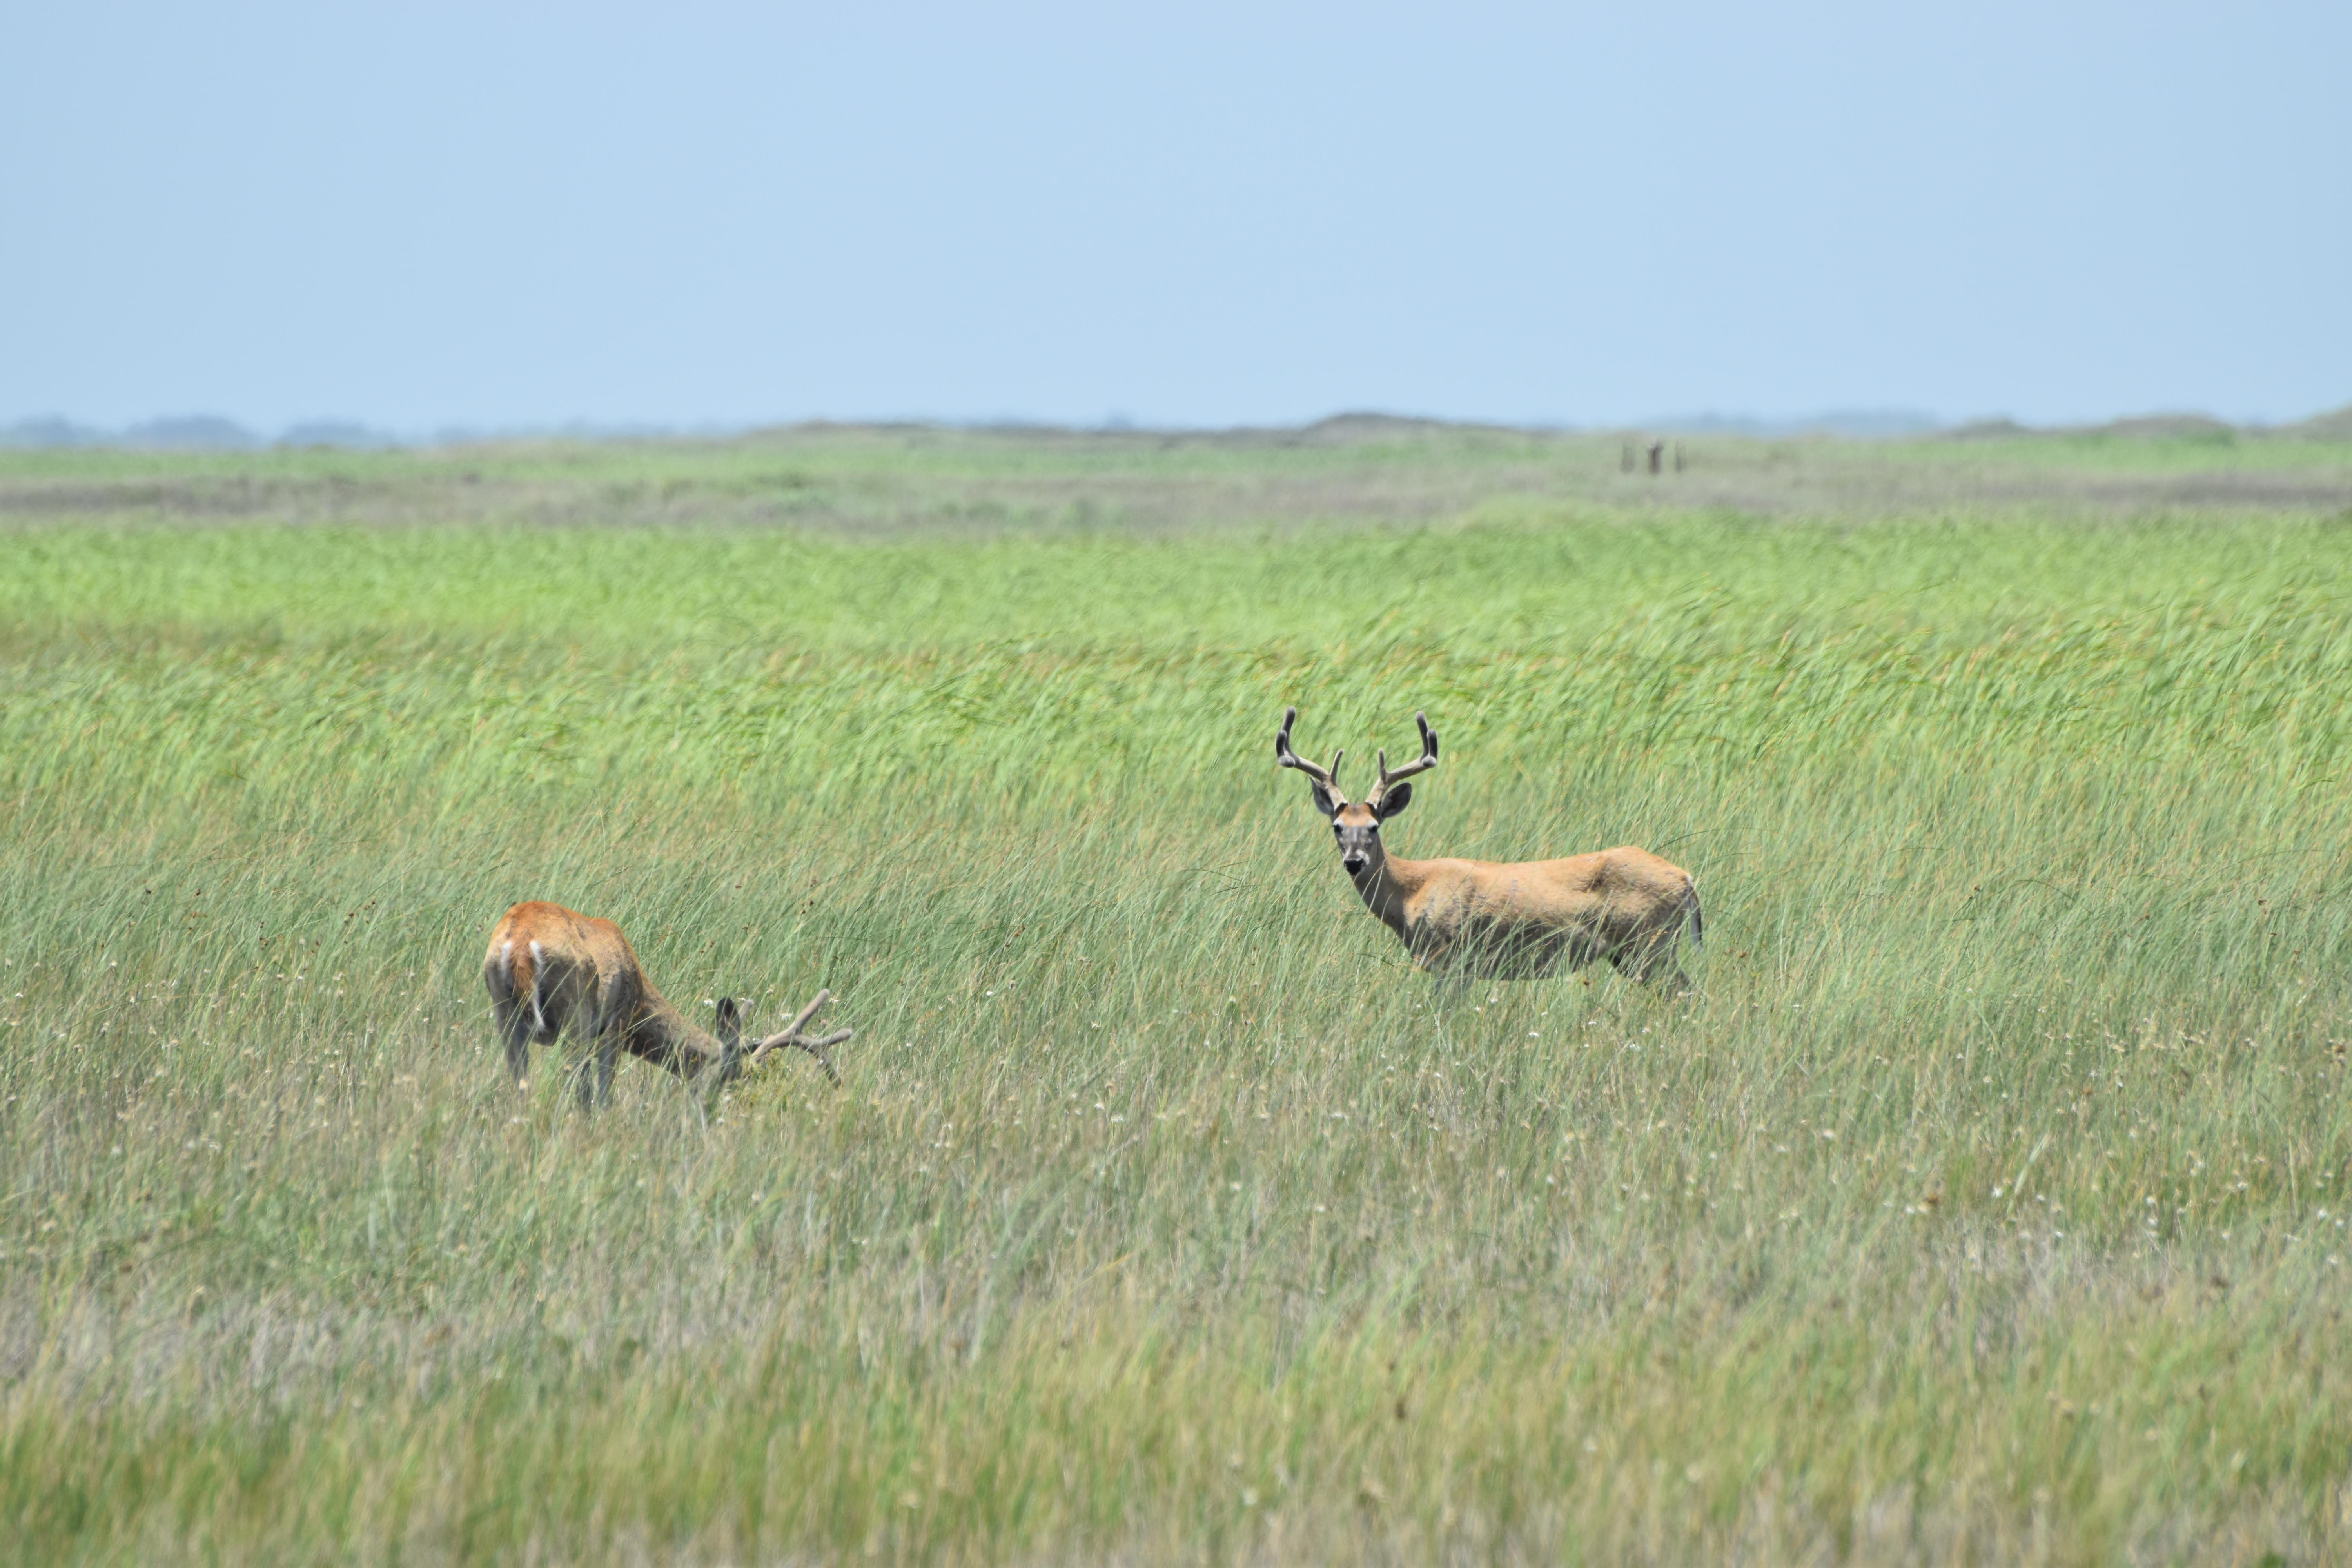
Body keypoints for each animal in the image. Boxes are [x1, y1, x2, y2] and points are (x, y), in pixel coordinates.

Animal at [480, 902, 856, 1109]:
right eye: (733, 1076)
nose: (715, 1107)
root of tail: (521, 944)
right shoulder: (615, 1024)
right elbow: (603, 1093)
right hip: (577, 1013)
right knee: (573, 1081)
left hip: (503, 1011)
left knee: (521, 1082)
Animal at [1279, 705, 1703, 987]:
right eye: (1337, 827)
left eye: (1373, 826)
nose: (1355, 861)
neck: (1411, 892)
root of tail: (1687, 878)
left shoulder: (1451, 959)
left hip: (1649, 944)